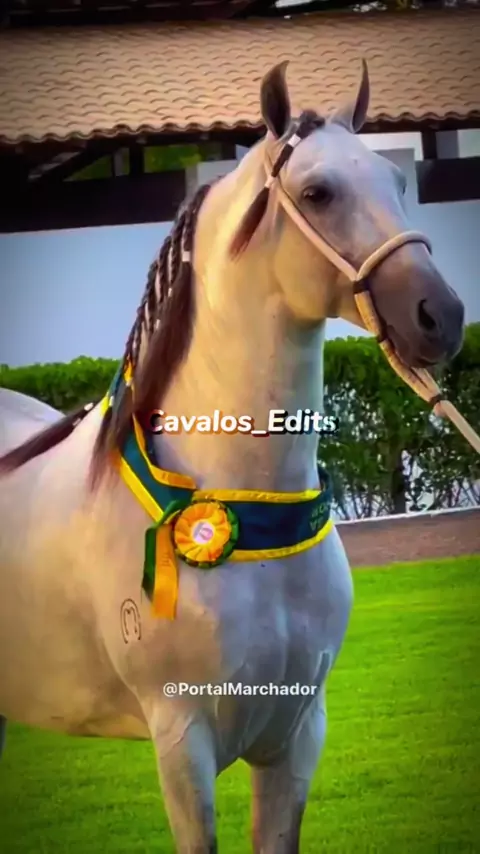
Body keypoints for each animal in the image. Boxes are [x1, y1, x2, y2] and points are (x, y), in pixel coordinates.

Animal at [0, 61, 464, 853]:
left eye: (395, 180)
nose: (442, 317)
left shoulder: (297, 733)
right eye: (317, 192)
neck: (243, 507)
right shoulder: (181, 742)